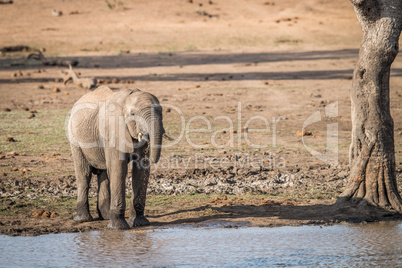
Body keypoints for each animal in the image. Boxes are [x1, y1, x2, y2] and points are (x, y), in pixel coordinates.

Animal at [66, 86, 164, 230]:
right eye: (133, 114)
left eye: (161, 112)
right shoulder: (113, 130)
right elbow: (119, 170)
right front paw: (118, 227)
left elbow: (140, 171)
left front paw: (140, 223)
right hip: (75, 138)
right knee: (84, 174)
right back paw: (83, 219)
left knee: (104, 174)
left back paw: (106, 216)